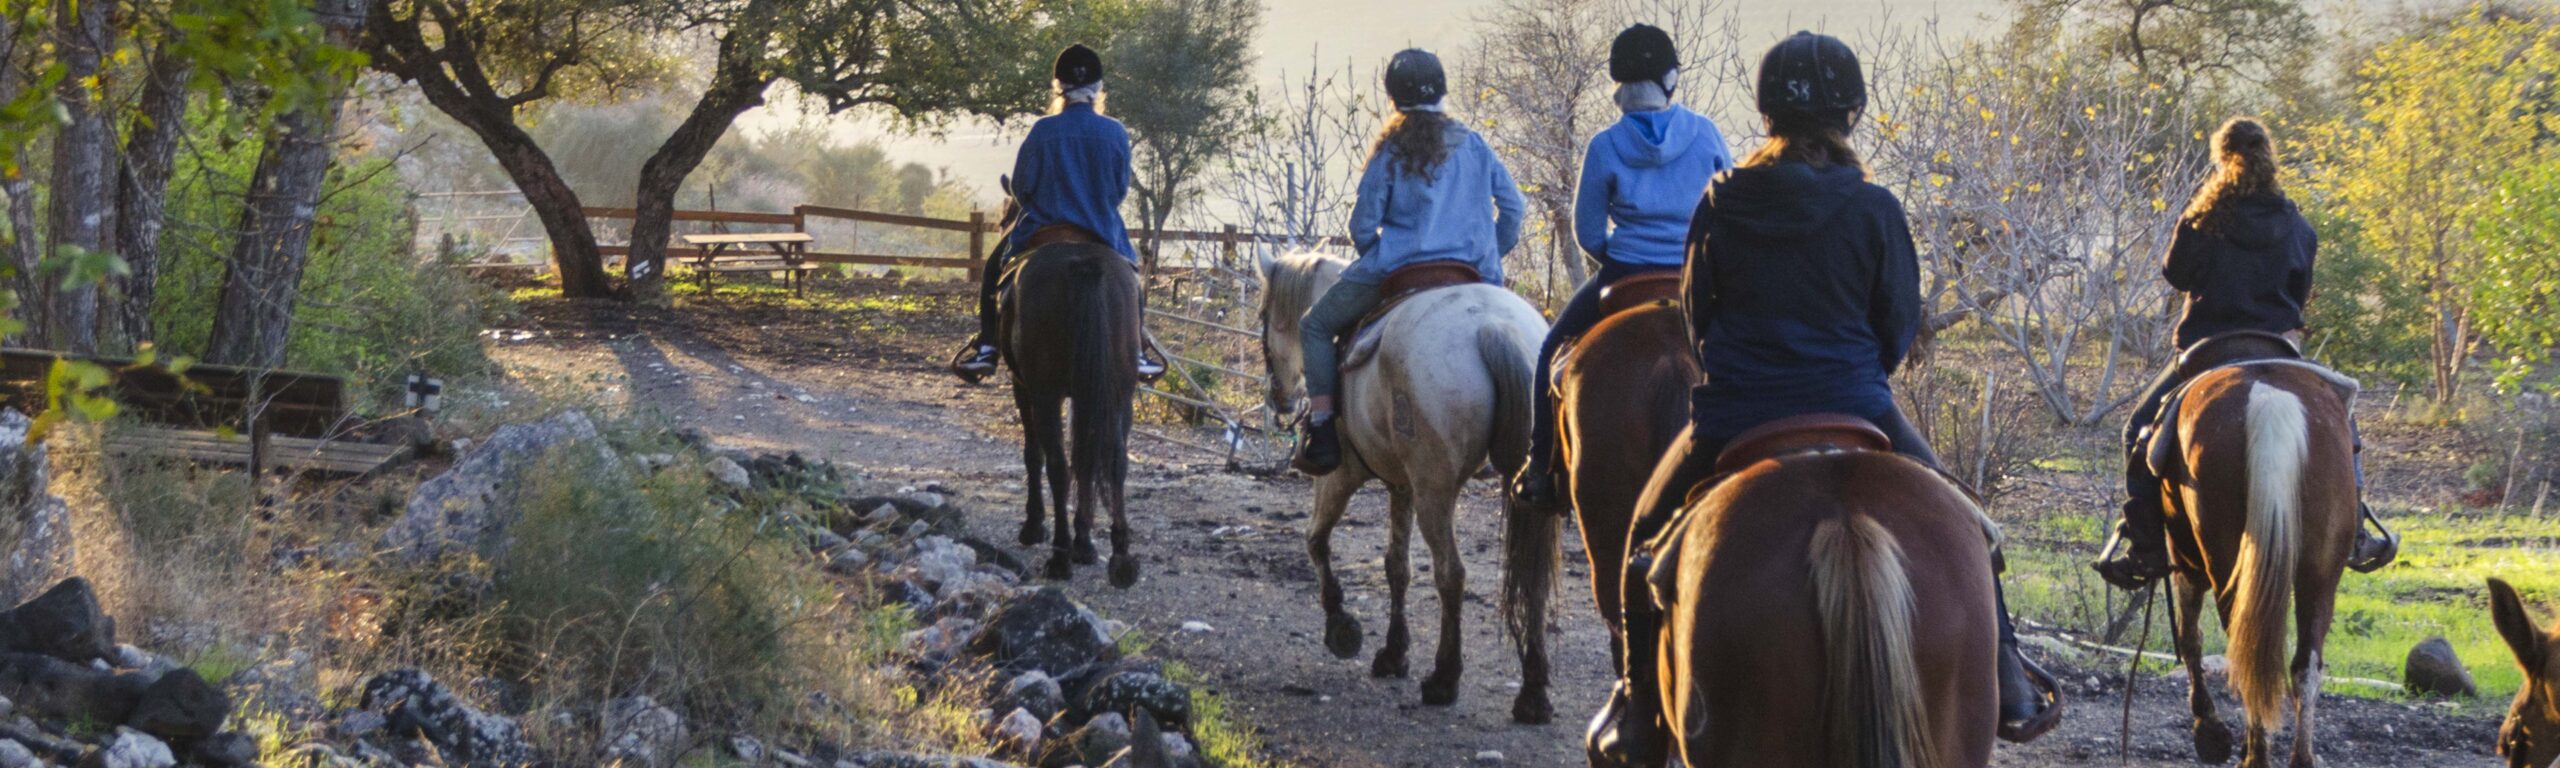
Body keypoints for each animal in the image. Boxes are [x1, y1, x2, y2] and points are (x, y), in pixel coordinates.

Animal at [998, 240, 1141, 588]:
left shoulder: (1024, 388)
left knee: (1057, 467)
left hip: (1045, 396)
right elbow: (1087, 460)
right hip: (1118, 394)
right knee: (1115, 462)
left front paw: (1035, 526)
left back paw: (1059, 556)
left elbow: (1034, 455)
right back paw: (1120, 557)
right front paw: (1085, 544)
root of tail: (1084, 263)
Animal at [1249, 250, 1546, 721]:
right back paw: (1533, 693)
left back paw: (1444, 678)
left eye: (1264, 315)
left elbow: (1315, 539)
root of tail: (1493, 327)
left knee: (1451, 574)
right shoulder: (1401, 487)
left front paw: (1342, 627)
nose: (1279, 399)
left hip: (1434, 492)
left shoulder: (1340, 476)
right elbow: (1396, 567)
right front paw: (1393, 653)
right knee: (1534, 580)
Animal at [2150, 360, 2344, 768]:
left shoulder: (2184, 559)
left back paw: (2253, 755)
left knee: (2242, 650)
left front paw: (2209, 730)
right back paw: (2297, 756)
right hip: (2320, 574)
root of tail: (2268, 398)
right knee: (2304, 664)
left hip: (2218, 559)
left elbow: (2189, 636)